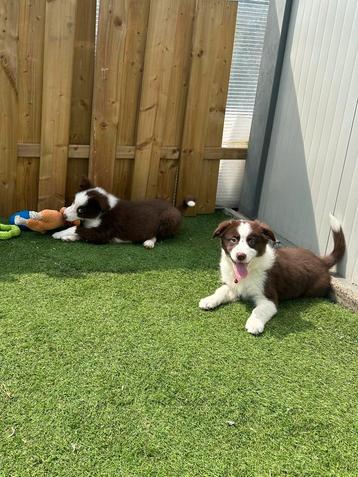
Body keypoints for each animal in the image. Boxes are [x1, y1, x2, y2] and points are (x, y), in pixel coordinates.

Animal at [52, 177, 196, 247]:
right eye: (73, 202)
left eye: (81, 210)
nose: (63, 215)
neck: (99, 215)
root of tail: (175, 208)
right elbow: (82, 231)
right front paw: (68, 237)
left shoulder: (103, 234)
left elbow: (78, 229)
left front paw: (59, 234)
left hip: (169, 218)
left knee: (157, 234)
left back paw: (149, 242)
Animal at [200, 214, 346, 332]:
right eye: (233, 240)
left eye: (252, 241)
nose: (241, 256)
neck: (251, 269)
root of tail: (320, 260)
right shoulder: (235, 286)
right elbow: (222, 290)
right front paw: (209, 300)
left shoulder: (268, 298)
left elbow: (258, 310)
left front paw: (254, 324)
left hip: (316, 288)